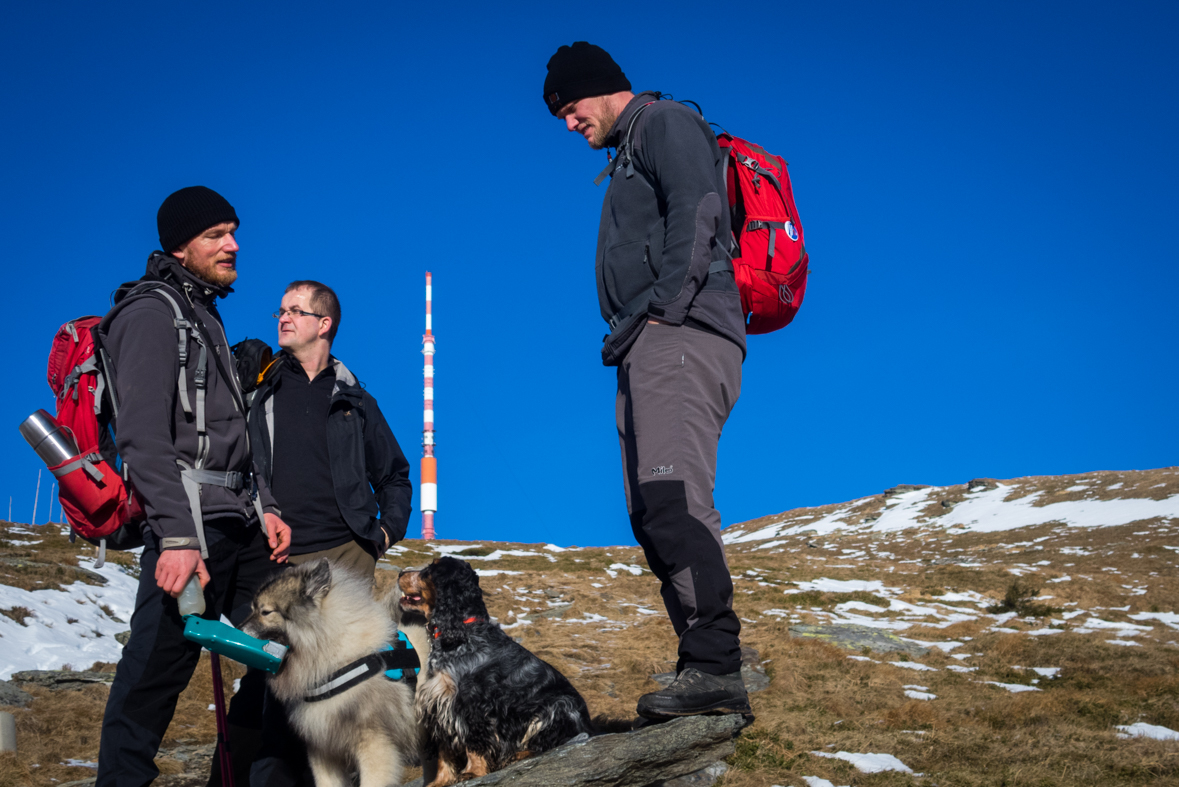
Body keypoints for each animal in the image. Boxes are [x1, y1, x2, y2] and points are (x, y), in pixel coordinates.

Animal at [407, 556, 594, 782]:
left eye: (429, 570)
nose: (400, 574)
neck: (462, 633)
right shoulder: (438, 703)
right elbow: (445, 752)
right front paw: (440, 781)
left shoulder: (469, 704)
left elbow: (474, 743)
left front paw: (472, 772)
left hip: (559, 706)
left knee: (549, 742)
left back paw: (518, 755)